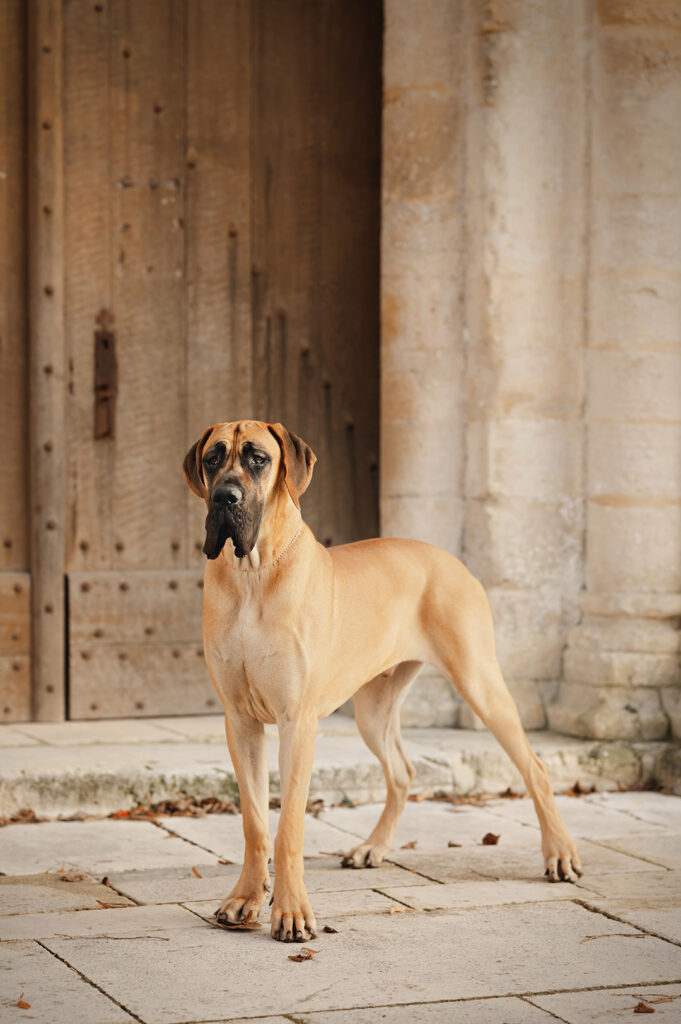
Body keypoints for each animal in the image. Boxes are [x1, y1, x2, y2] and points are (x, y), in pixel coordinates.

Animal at [183, 419, 581, 937]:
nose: (224, 498)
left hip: (480, 682)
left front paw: (290, 911)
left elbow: (289, 826)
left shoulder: (297, 723)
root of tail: (455, 562)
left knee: (535, 767)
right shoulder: (241, 722)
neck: (254, 573)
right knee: (402, 772)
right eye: (212, 458)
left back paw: (559, 853)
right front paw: (246, 899)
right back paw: (372, 848)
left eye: (258, 459)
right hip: (372, 711)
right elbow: (255, 822)